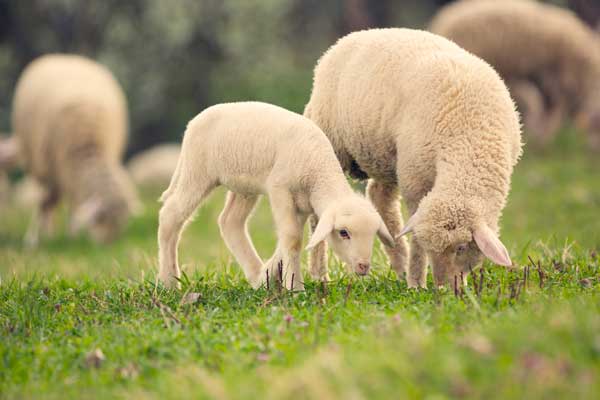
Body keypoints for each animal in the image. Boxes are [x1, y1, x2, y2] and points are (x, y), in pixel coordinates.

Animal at [9, 54, 141, 245]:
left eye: (121, 223)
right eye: (100, 218)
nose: (108, 245)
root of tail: (65, 57)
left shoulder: (70, 173)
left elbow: (72, 204)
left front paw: (73, 234)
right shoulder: (53, 169)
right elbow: (45, 204)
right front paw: (33, 240)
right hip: (36, 162)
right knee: (46, 201)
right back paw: (45, 233)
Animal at [157, 101, 396, 290]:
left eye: (373, 234)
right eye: (343, 233)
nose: (363, 266)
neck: (318, 171)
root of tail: (193, 123)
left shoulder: (302, 205)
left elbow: (287, 240)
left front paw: (268, 275)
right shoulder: (280, 189)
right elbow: (291, 239)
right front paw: (295, 287)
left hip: (243, 185)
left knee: (230, 222)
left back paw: (255, 274)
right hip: (197, 172)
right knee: (171, 214)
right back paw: (169, 282)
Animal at [302, 29, 524, 290]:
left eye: (461, 247)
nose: (445, 287)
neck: (469, 139)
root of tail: (345, 40)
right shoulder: (414, 178)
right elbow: (417, 238)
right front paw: (416, 283)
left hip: (385, 157)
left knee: (380, 199)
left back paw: (399, 265)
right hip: (332, 141)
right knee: (319, 215)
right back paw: (320, 274)